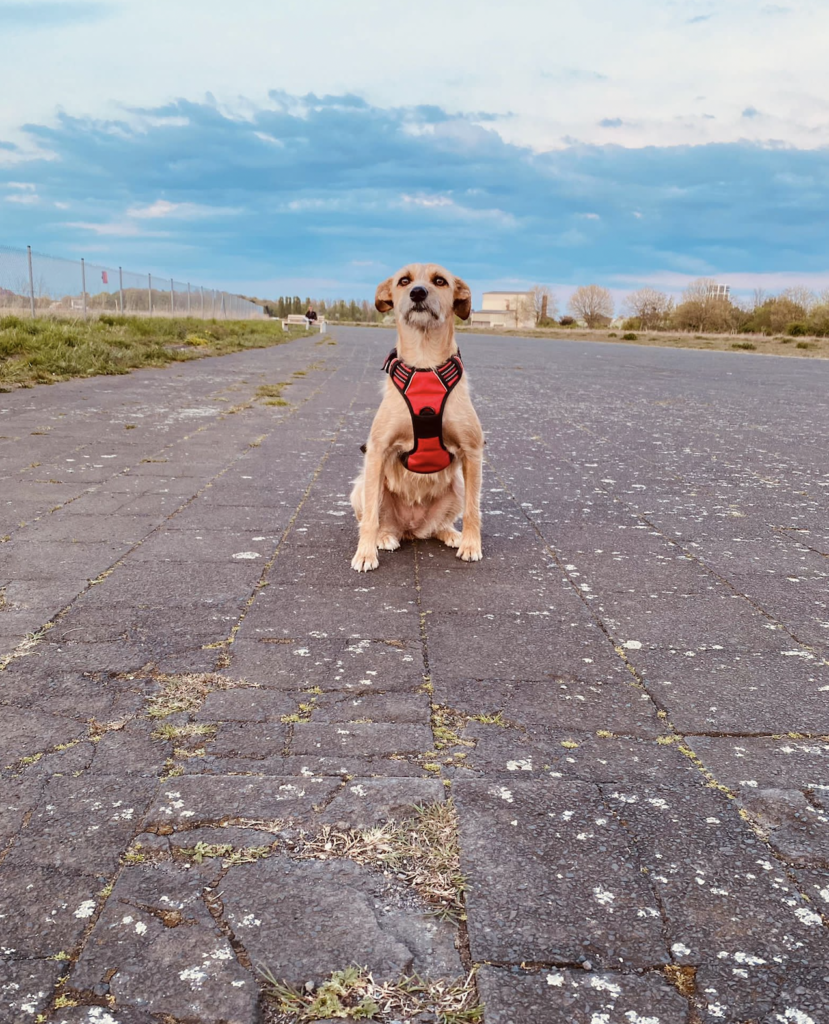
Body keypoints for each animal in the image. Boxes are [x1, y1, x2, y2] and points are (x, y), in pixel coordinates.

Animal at [350, 260, 485, 573]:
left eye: (440, 281)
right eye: (404, 281)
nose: (418, 292)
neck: (425, 362)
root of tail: (411, 529)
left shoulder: (473, 452)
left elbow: (473, 510)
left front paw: (471, 545)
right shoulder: (377, 451)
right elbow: (371, 517)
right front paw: (365, 553)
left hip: (457, 486)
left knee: (439, 525)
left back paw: (452, 534)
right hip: (362, 486)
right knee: (377, 518)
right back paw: (384, 537)